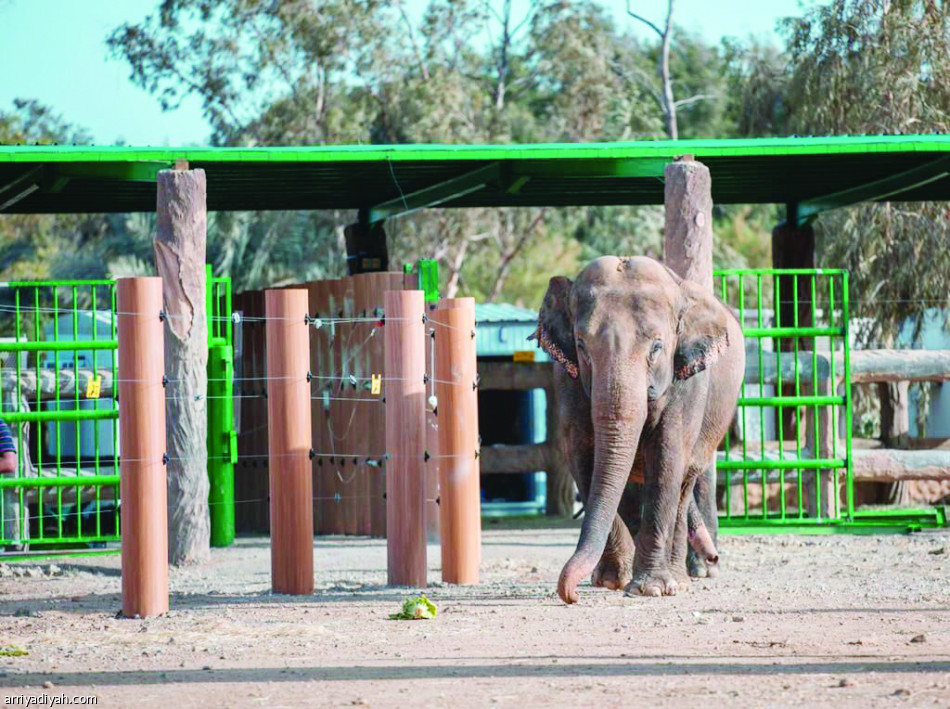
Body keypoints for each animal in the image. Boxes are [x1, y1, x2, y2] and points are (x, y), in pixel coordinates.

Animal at [536, 254, 744, 604]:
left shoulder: (687, 382)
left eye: (657, 347)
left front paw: (653, 588)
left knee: (684, 485)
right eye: (580, 344)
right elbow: (583, 459)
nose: (570, 594)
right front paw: (612, 582)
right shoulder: (566, 379)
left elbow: (666, 458)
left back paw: (679, 579)